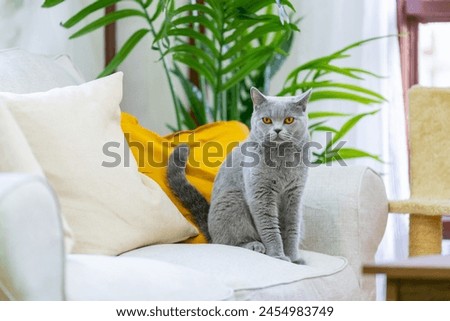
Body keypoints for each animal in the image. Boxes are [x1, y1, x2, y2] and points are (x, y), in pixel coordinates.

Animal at [167, 87, 312, 262]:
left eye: (289, 120)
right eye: (267, 120)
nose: (277, 130)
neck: (282, 158)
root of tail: (210, 231)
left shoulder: (295, 195)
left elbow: (292, 229)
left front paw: (293, 258)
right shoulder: (261, 195)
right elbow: (270, 228)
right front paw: (278, 256)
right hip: (233, 198)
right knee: (230, 242)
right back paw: (255, 245)